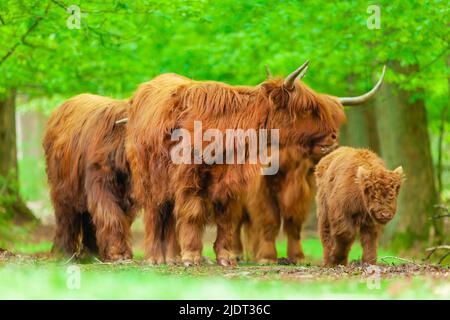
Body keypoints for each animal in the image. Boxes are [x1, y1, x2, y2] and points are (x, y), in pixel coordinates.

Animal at [43, 94, 135, 262]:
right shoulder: (100, 181)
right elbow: (109, 213)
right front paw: (117, 252)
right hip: (62, 186)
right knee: (66, 217)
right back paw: (63, 253)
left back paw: (90, 253)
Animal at [125, 62, 386, 264]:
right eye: (306, 109)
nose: (333, 137)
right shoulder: (190, 177)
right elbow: (193, 213)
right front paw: (192, 256)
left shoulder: (231, 183)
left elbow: (227, 218)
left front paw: (225, 257)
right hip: (150, 179)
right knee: (155, 213)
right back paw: (155, 258)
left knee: (168, 215)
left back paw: (171, 257)